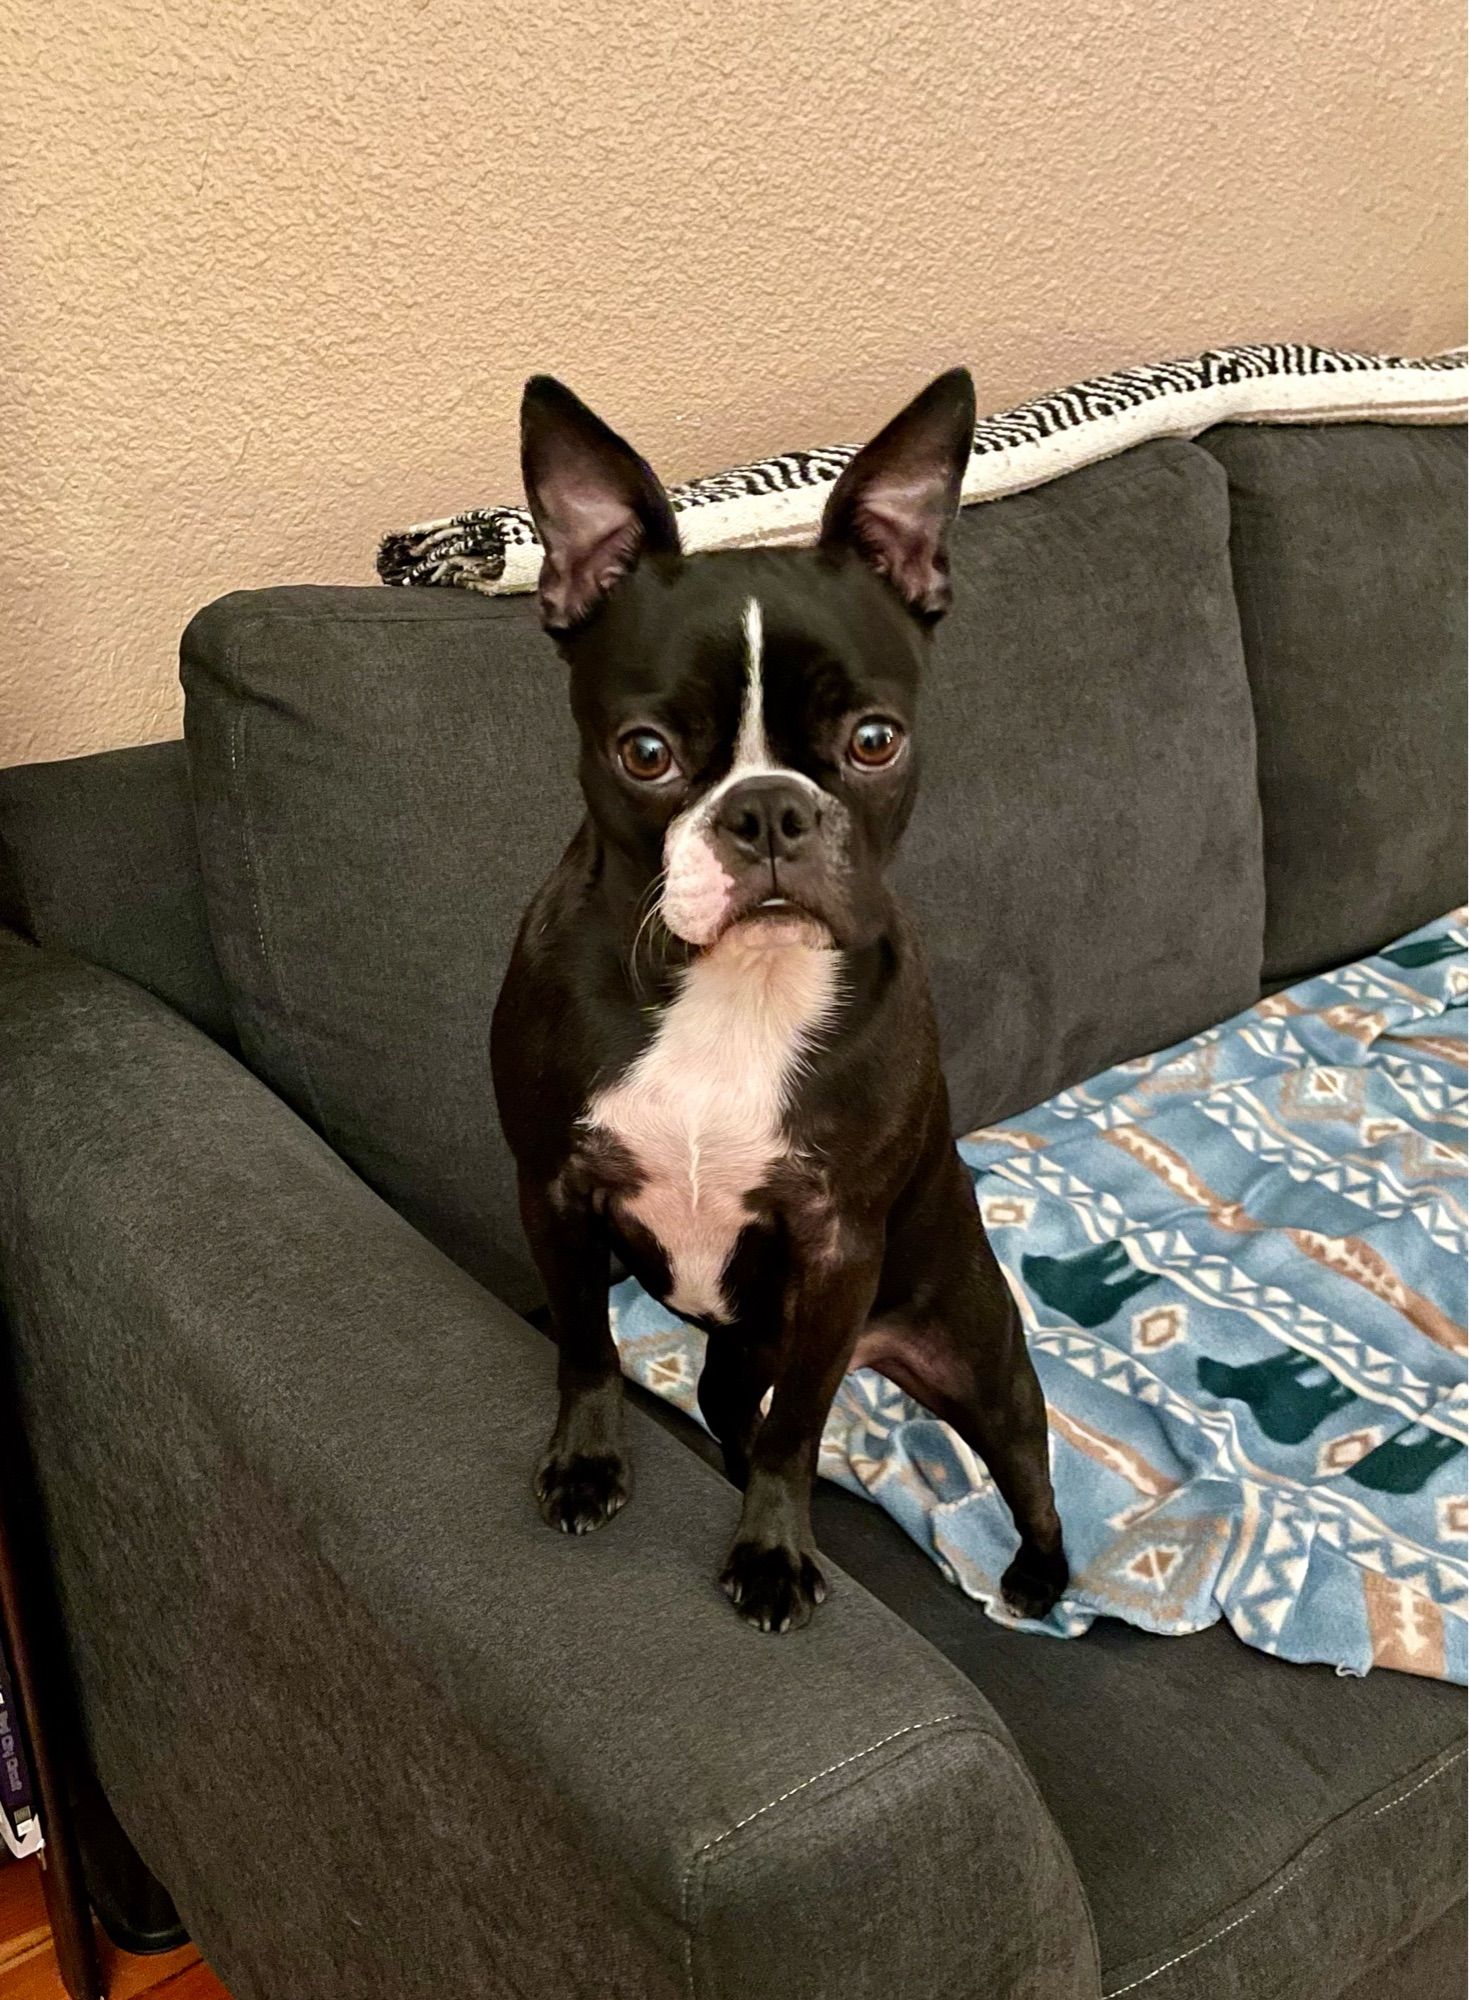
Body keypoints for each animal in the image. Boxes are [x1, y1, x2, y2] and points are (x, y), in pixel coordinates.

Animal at [494, 368, 1072, 1632]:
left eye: (874, 739)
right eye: (645, 751)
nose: (768, 809)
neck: (732, 988)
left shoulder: (835, 1243)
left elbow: (796, 1435)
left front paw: (769, 1550)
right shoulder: (554, 1189)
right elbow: (585, 1344)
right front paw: (587, 1462)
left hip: (971, 1346)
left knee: (1023, 1456)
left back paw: (1040, 1573)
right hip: (748, 1337)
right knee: (727, 1401)